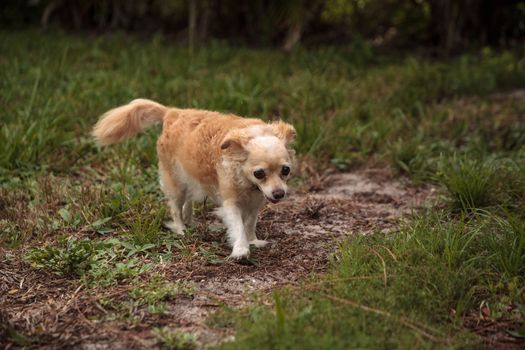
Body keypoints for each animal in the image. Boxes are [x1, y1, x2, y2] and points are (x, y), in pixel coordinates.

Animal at [91, 100, 294, 258]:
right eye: (259, 173)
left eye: (286, 170)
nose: (278, 194)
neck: (249, 184)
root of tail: (172, 112)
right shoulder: (231, 203)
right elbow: (238, 227)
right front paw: (241, 249)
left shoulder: (255, 202)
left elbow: (250, 224)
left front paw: (253, 241)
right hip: (176, 183)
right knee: (175, 207)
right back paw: (180, 229)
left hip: (190, 180)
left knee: (187, 202)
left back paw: (189, 221)